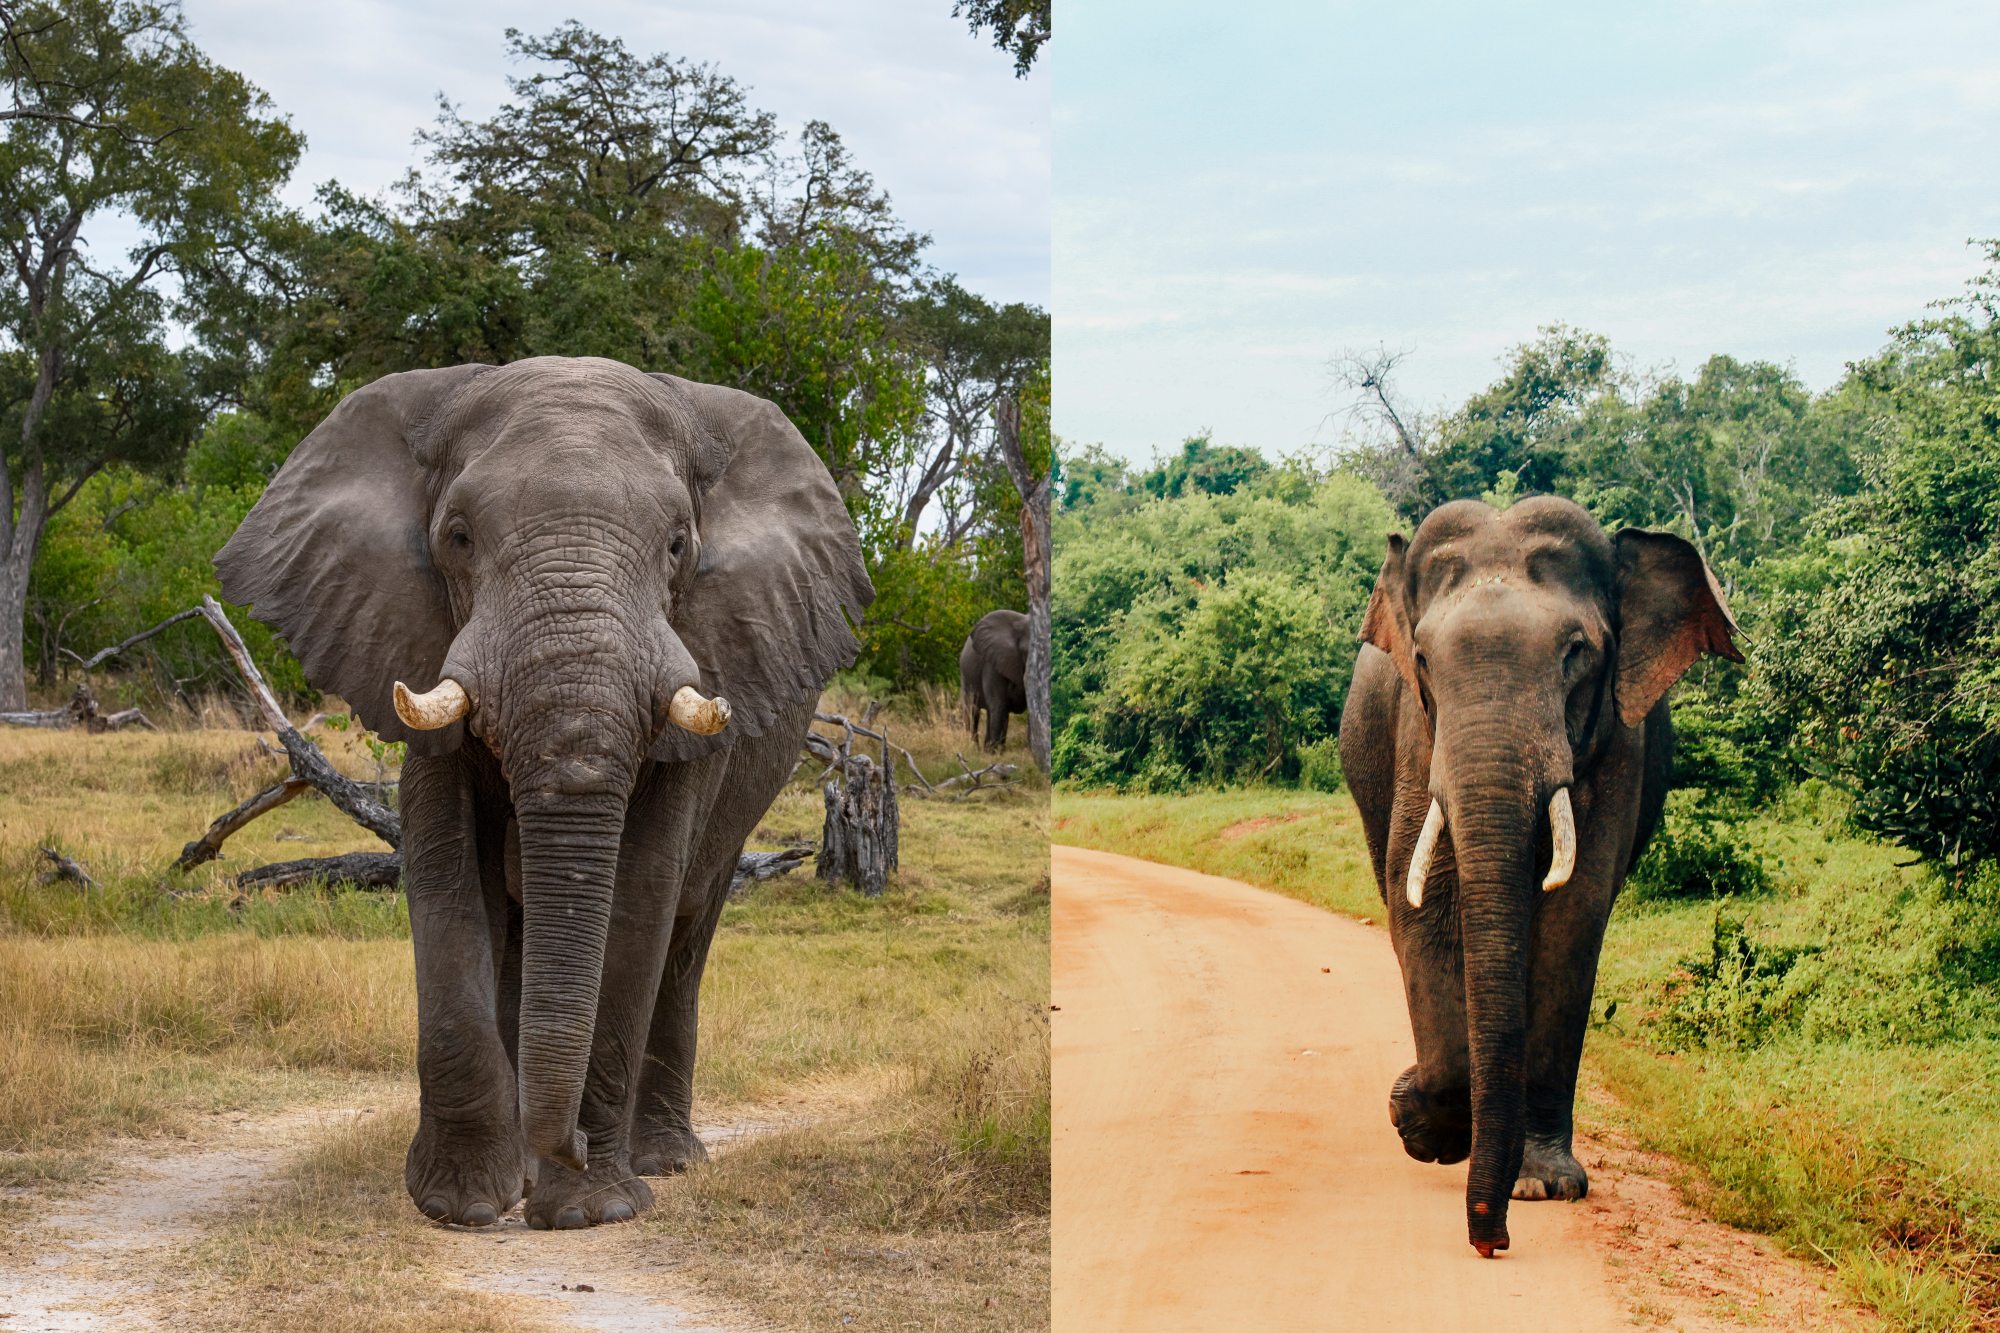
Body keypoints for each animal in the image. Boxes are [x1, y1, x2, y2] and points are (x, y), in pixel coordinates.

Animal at [215, 356, 871, 1230]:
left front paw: (593, 1208)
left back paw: (664, 1160)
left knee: (688, 929)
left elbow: (640, 891)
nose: (574, 1148)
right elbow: (447, 871)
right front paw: (459, 1201)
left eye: (678, 545)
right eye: (458, 536)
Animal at [959, 608, 1028, 751]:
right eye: (1025, 651)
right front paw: (993, 753)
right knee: (973, 711)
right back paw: (975, 749)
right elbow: (998, 704)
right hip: (965, 676)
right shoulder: (993, 662)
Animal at [1337, 496, 1740, 1258]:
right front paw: (1425, 1127)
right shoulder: (1418, 734)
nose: (1489, 1241)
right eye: (1424, 659)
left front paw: (1540, 1185)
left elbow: (1572, 919)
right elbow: (1423, 908)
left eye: (1575, 652)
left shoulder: (1618, 743)